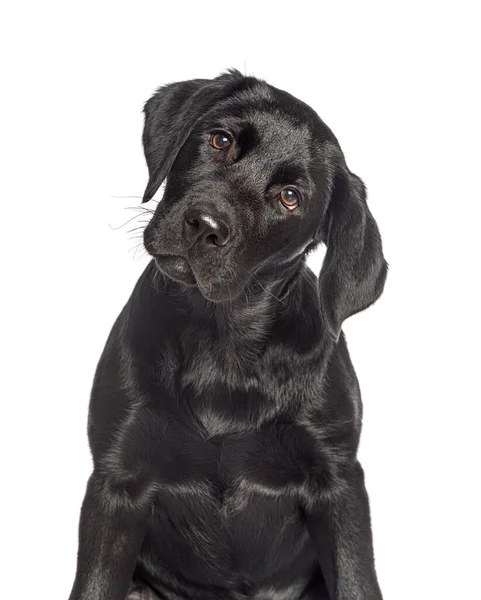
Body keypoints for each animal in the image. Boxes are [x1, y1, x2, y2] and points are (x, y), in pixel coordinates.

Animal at [69, 70, 386, 600]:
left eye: (290, 197)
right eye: (220, 140)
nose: (204, 226)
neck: (222, 344)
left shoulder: (338, 481)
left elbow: (357, 581)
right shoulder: (117, 480)